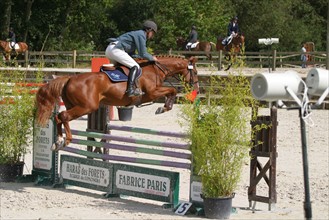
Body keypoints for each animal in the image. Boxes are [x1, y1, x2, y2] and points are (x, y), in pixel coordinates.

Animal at [36, 55, 200, 150]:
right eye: (196, 72)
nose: (197, 89)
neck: (155, 69)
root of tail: (69, 79)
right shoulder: (151, 93)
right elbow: (172, 90)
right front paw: (164, 108)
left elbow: (171, 91)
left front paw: (165, 107)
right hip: (87, 106)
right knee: (63, 115)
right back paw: (66, 140)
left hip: (76, 105)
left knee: (58, 117)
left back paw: (58, 141)